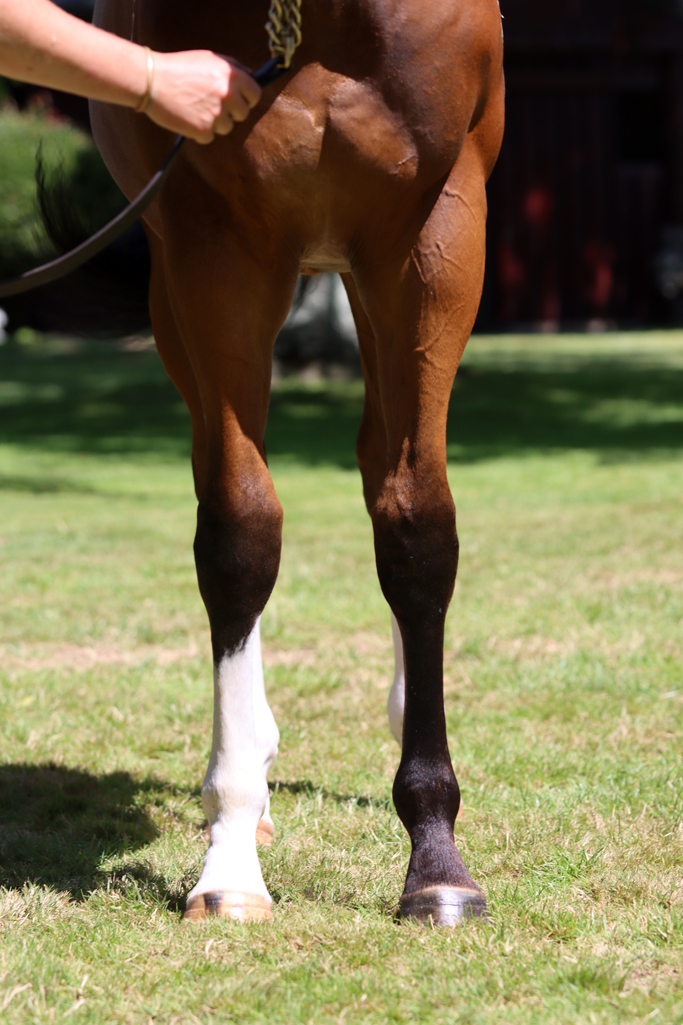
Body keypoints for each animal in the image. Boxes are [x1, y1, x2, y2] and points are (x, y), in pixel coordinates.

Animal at [90, 0, 505, 925]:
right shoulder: (213, 248)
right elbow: (240, 535)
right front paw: (230, 858)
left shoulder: (435, 232)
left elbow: (417, 527)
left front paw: (436, 858)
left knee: (381, 467)